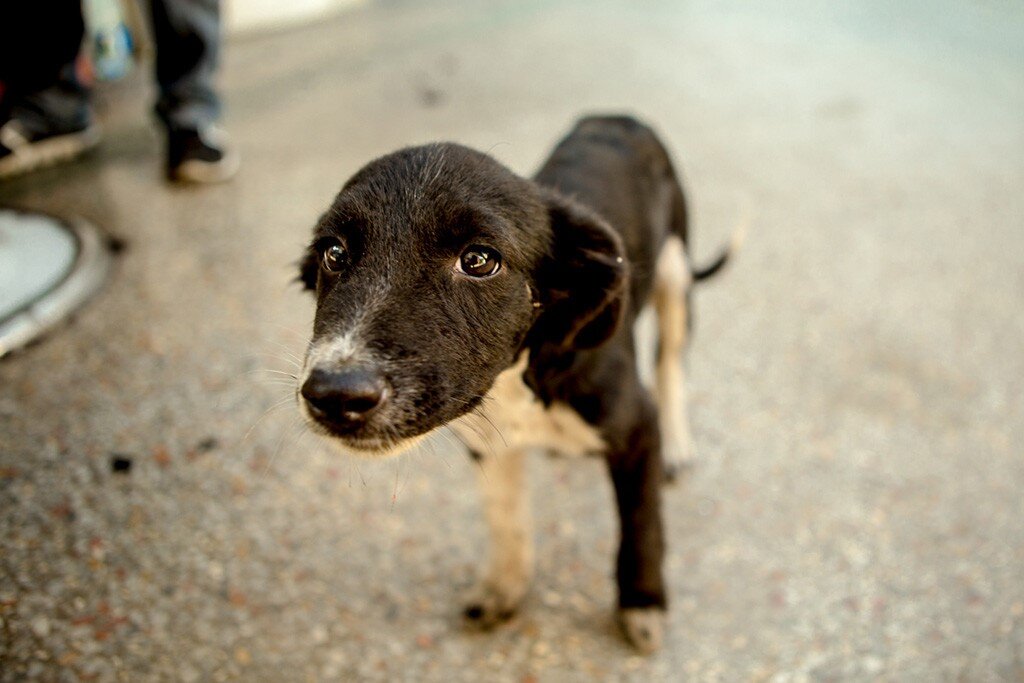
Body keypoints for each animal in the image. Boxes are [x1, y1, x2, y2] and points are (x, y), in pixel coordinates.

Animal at [296, 116, 737, 651]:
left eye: (479, 260)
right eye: (334, 252)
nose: (335, 394)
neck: (518, 374)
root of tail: (618, 116)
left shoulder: (635, 428)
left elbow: (641, 523)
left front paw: (642, 603)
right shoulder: (487, 443)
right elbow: (507, 520)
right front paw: (504, 590)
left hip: (675, 272)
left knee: (671, 361)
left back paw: (677, 445)